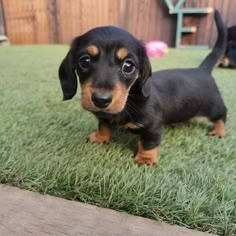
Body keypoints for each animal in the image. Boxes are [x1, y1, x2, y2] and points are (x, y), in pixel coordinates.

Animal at [58, 10, 227, 166]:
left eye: (128, 66)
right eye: (84, 61)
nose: (101, 100)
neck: (129, 100)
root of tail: (202, 70)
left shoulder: (153, 127)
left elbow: (148, 143)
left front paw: (145, 159)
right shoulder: (105, 117)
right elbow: (104, 125)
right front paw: (100, 137)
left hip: (213, 107)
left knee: (222, 115)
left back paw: (219, 131)